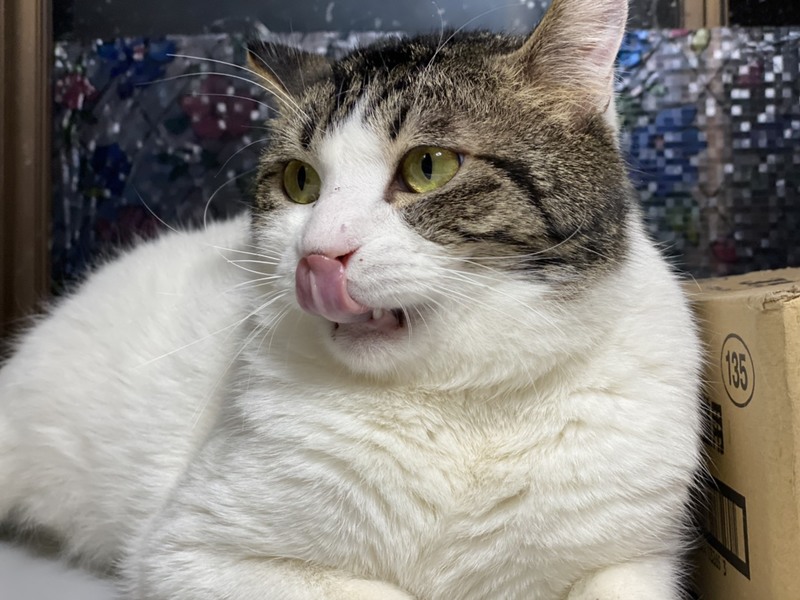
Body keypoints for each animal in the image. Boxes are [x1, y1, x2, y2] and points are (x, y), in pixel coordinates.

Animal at [0, 0, 704, 598]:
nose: (317, 253)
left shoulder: (635, 561)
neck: (457, 407)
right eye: (300, 181)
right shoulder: (192, 551)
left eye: (429, 166)